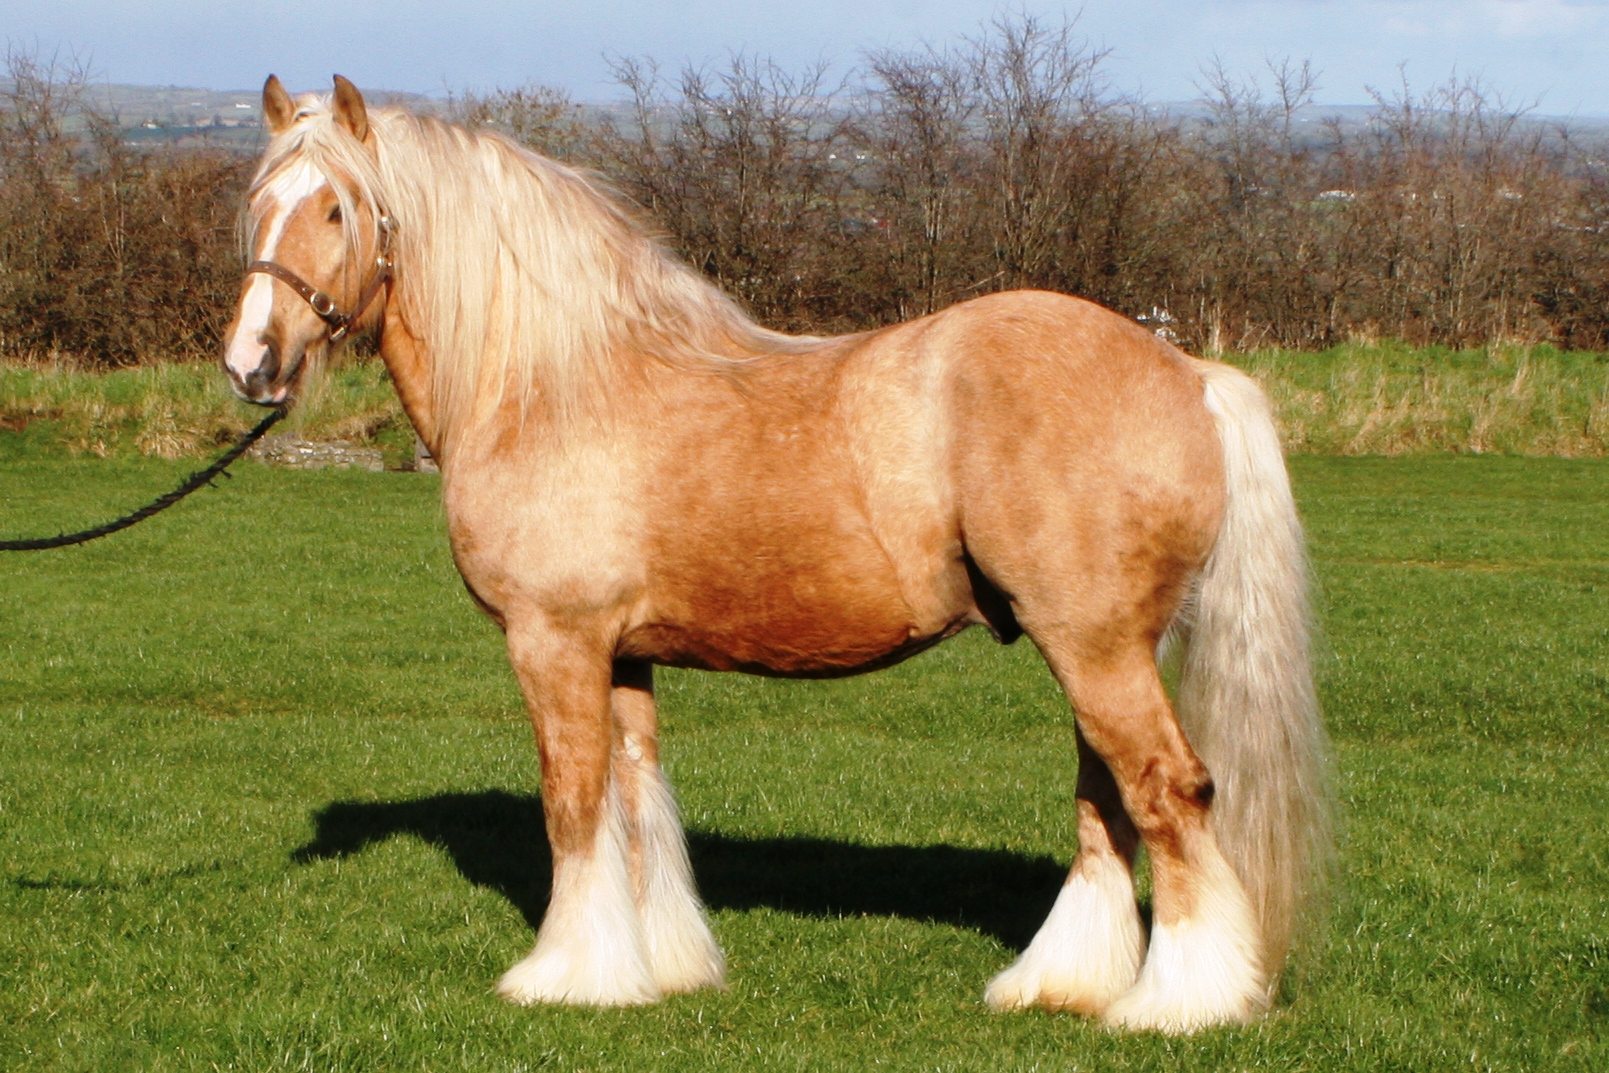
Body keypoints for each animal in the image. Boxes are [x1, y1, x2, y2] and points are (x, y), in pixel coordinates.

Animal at [226, 75, 1332, 1029]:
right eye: (258, 202)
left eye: (337, 210)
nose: (251, 363)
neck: (554, 381)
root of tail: (1188, 372)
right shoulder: (622, 654)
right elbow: (636, 800)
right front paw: (658, 966)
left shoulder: (554, 641)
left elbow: (573, 799)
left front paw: (563, 974)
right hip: (1094, 647)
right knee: (1108, 803)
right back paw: (1061, 983)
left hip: (1095, 646)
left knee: (1166, 790)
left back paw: (1180, 1002)